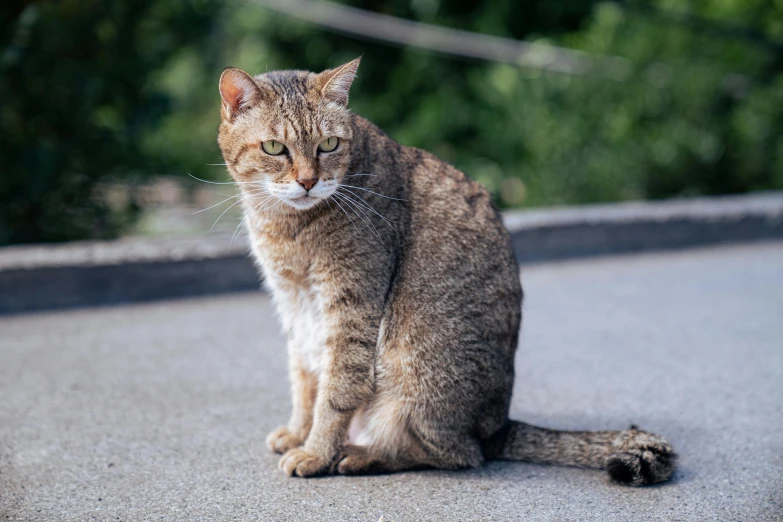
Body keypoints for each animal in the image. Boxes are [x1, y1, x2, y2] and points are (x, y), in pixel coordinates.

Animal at [217, 57, 676, 484]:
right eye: (274, 148)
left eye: (329, 144)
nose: (309, 181)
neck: (286, 225)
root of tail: (497, 429)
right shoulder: (294, 305)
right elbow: (304, 380)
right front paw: (299, 432)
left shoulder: (350, 306)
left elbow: (336, 390)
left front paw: (316, 451)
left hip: (411, 369)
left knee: (455, 454)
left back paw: (361, 454)